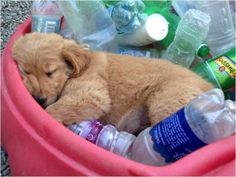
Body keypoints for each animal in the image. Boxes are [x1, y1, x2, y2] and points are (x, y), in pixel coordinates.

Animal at [12, 32, 213, 133]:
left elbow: (53, 109)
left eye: (50, 72)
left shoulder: (92, 95)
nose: (38, 100)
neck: (76, 71)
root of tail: (210, 87)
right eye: (25, 71)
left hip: (166, 104)